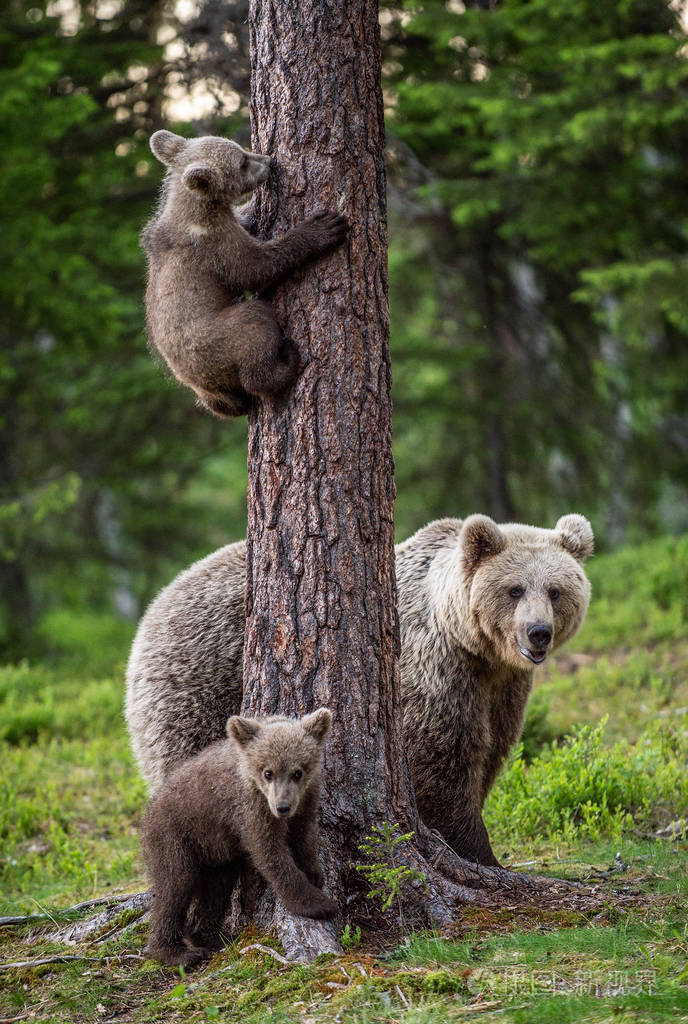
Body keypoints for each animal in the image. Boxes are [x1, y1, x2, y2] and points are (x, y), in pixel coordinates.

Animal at [126, 513, 593, 866]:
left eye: (555, 590)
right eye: (514, 589)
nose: (538, 633)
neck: (472, 645)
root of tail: (156, 605)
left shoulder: (503, 688)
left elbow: (491, 749)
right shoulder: (433, 670)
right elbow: (444, 758)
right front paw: (477, 850)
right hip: (195, 682)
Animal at [142, 130, 348, 418]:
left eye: (241, 150)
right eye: (242, 162)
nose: (269, 161)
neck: (198, 210)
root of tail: (203, 384)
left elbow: (245, 222)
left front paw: (251, 207)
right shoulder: (215, 246)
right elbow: (256, 268)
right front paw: (322, 228)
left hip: (212, 392)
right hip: (217, 340)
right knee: (255, 325)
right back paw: (285, 362)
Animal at [143, 708, 336, 967]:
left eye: (297, 772)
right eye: (268, 772)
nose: (282, 807)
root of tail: (149, 810)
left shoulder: (306, 800)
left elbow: (303, 836)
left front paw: (314, 873)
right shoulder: (250, 809)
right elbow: (270, 853)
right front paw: (318, 904)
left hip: (214, 850)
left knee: (216, 888)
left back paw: (212, 936)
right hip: (173, 835)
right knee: (175, 885)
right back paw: (175, 951)